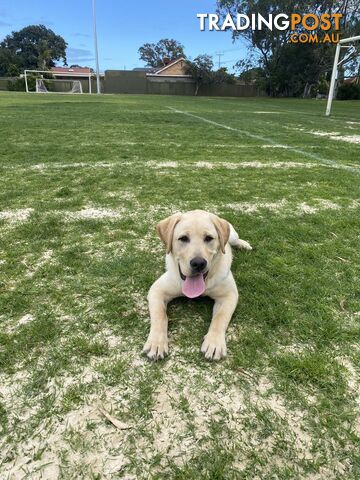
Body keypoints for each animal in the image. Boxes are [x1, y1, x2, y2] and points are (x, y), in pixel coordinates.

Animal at [142, 210, 252, 360]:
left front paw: (214, 343)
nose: (198, 263)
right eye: (183, 238)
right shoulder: (157, 290)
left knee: (235, 239)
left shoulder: (229, 295)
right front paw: (156, 343)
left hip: (232, 235)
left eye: (209, 238)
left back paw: (244, 244)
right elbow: (160, 316)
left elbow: (220, 317)